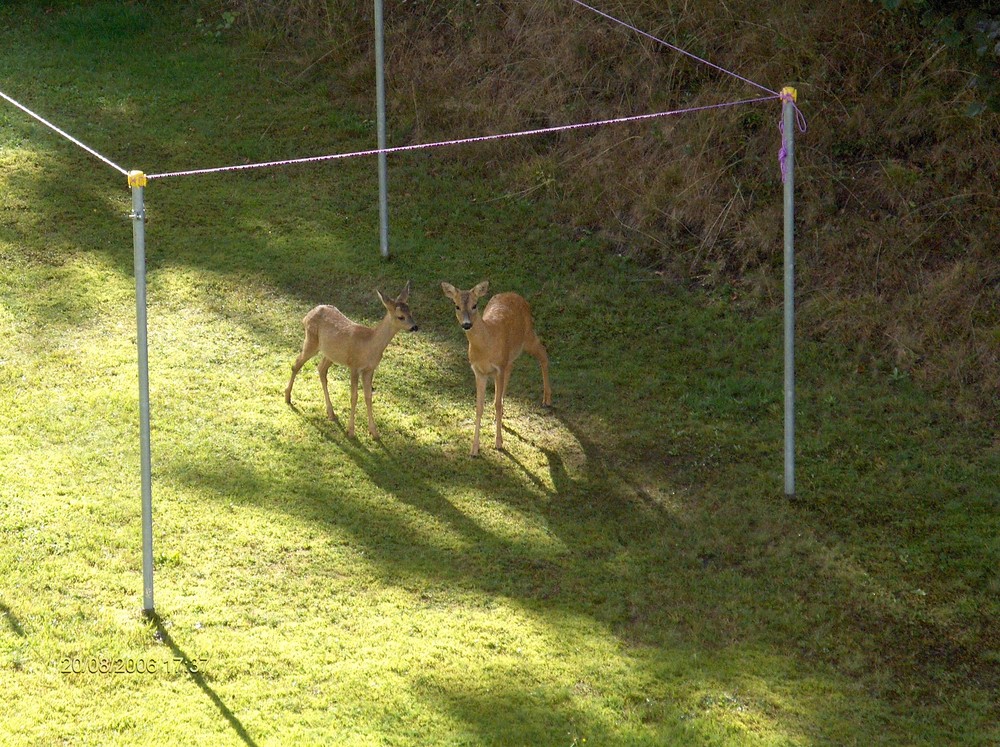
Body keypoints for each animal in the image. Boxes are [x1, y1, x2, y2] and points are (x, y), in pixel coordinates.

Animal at [286, 284, 418, 442]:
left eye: (411, 312)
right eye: (400, 317)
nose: (415, 327)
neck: (370, 345)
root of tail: (306, 316)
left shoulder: (369, 369)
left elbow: (368, 396)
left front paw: (374, 432)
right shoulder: (354, 366)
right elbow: (354, 396)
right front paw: (351, 431)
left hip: (330, 354)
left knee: (321, 369)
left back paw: (331, 413)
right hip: (311, 341)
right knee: (296, 364)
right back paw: (287, 397)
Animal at [442, 280, 556, 456]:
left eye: (475, 305)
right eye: (457, 306)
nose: (467, 324)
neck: (486, 345)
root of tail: (515, 294)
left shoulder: (498, 368)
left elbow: (496, 403)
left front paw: (499, 443)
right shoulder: (479, 371)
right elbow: (479, 407)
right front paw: (474, 449)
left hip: (528, 335)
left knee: (543, 353)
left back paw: (547, 400)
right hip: (510, 354)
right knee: (512, 367)